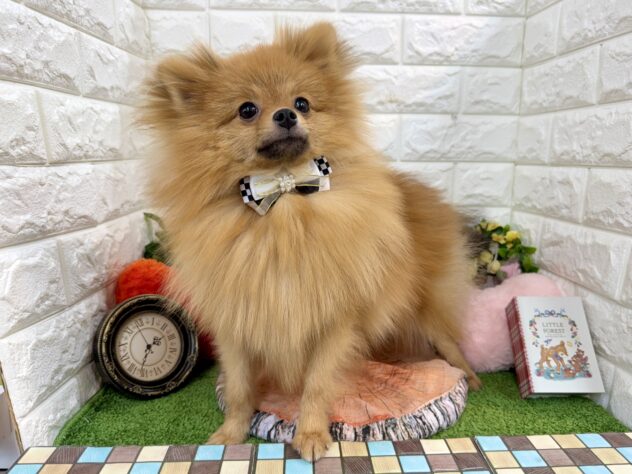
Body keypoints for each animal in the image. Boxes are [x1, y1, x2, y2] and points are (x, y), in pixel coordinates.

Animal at [141, 22, 481, 461]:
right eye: (246, 110)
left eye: (302, 103)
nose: (286, 114)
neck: (283, 203)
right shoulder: (237, 323)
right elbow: (239, 388)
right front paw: (230, 433)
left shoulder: (334, 320)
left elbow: (317, 385)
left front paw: (313, 434)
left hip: (428, 307)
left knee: (449, 343)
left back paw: (470, 377)